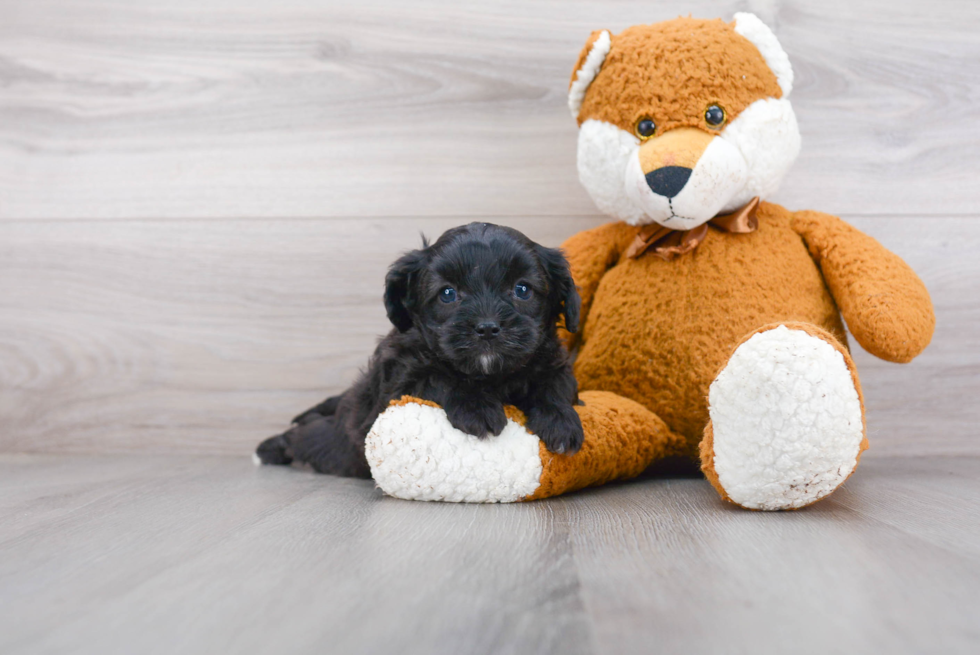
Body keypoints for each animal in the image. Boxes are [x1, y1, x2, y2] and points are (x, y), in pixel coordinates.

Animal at [256, 223, 584, 480]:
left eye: (522, 290)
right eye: (447, 294)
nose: (488, 327)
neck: (491, 375)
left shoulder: (554, 364)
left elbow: (554, 386)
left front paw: (560, 420)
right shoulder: (398, 381)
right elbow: (440, 378)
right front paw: (477, 407)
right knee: (304, 437)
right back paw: (271, 448)